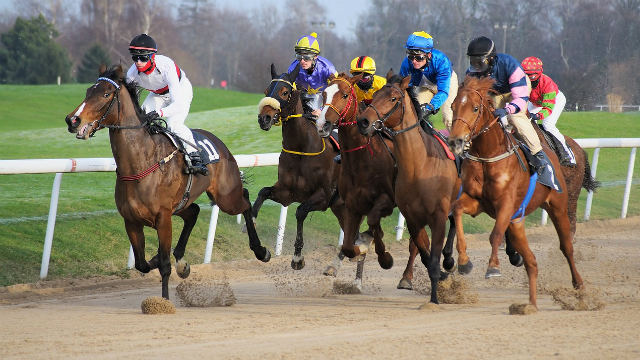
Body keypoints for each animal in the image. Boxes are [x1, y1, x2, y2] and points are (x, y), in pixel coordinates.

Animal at [66, 64, 272, 298]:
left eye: (106, 94)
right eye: (87, 92)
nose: (72, 120)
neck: (141, 163)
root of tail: (220, 144)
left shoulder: (163, 218)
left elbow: (164, 266)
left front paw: (164, 299)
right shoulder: (131, 221)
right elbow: (142, 264)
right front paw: (162, 259)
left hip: (226, 196)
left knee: (244, 201)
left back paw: (261, 250)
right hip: (183, 202)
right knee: (194, 212)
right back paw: (181, 259)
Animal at [254, 63, 344, 268]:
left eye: (285, 92)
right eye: (266, 91)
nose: (264, 119)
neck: (302, 148)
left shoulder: (324, 196)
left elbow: (300, 211)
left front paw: (297, 257)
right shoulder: (286, 192)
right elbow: (262, 192)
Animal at [358, 75, 462, 304]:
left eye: (393, 98)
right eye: (374, 95)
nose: (364, 121)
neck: (419, 166)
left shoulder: (438, 215)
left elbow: (433, 257)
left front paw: (435, 299)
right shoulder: (413, 217)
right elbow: (424, 254)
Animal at [448, 75, 596, 306]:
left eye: (474, 108)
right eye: (453, 106)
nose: (455, 141)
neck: (488, 156)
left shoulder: (506, 205)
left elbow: (495, 234)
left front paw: (493, 267)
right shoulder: (476, 201)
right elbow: (456, 211)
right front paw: (464, 262)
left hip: (560, 205)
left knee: (566, 245)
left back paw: (578, 284)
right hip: (519, 218)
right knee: (530, 256)